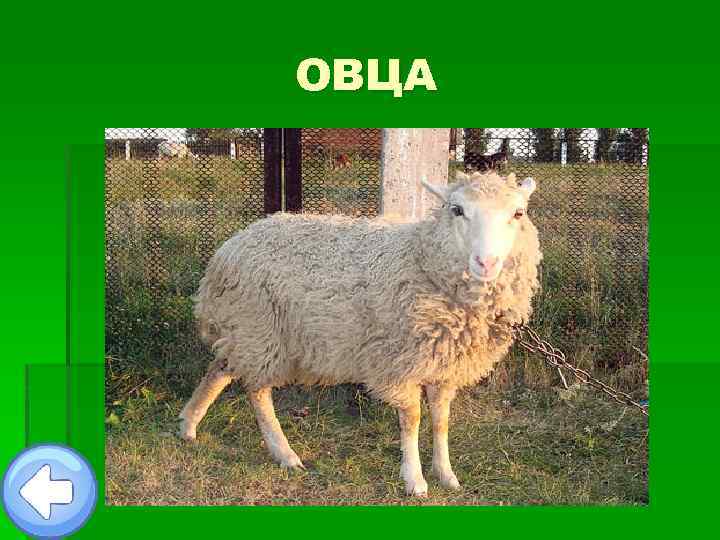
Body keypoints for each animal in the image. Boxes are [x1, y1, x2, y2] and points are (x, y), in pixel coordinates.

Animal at [179, 171, 542, 496]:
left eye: (518, 212)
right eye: (457, 210)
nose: (487, 262)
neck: (422, 259)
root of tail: (230, 246)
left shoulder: (445, 365)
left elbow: (441, 420)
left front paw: (446, 474)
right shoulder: (398, 362)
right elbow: (412, 418)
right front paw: (415, 480)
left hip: (245, 330)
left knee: (221, 367)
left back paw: (188, 423)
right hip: (260, 329)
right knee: (257, 392)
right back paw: (284, 453)